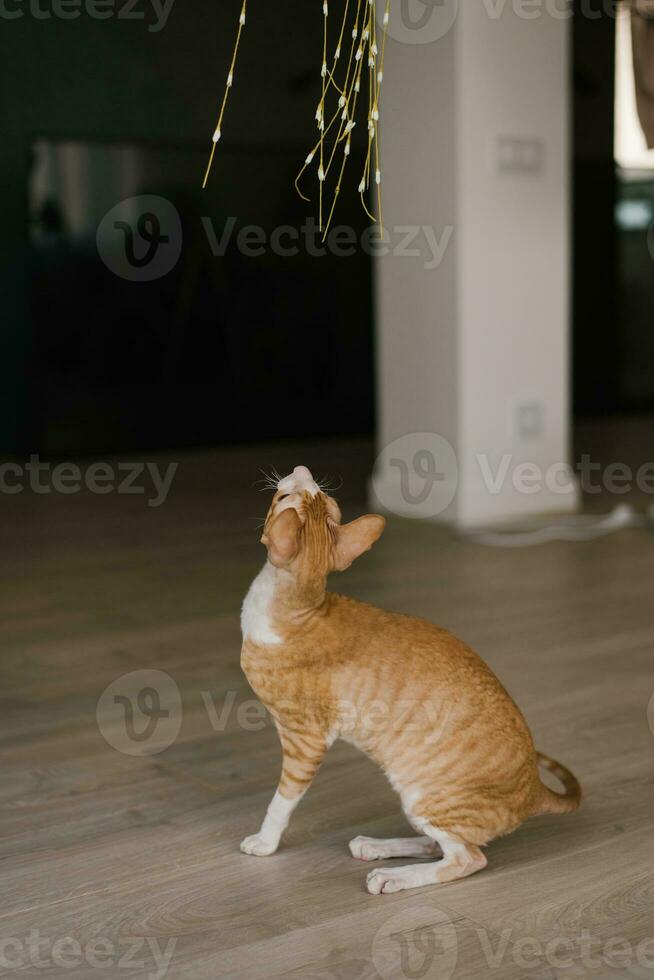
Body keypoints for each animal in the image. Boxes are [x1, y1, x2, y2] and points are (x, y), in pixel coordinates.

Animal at [241, 464, 584, 892]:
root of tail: (534, 790)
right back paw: (376, 847)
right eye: (324, 500)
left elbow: (282, 800)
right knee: (439, 844)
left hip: (424, 794)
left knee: (467, 858)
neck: (301, 606)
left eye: (286, 497)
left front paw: (264, 841)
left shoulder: (305, 738)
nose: (302, 471)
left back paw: (392, 877)